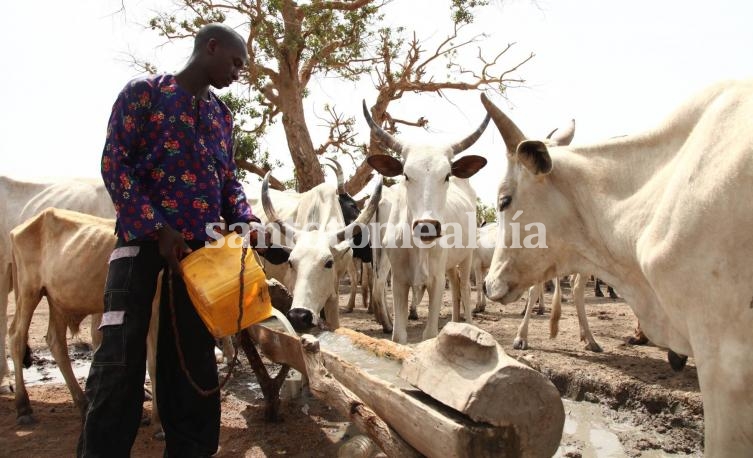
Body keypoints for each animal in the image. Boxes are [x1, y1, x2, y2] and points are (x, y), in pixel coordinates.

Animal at [362, 100, 488, 344]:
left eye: (446, 175)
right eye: (406, 175)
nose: (427, 225)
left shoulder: (436, 281)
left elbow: (430, 334)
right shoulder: (399, 281)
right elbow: (398, 336)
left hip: (467, 256)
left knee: (465, 288)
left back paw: (467, 323)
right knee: (455, 286)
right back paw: (454, 325)